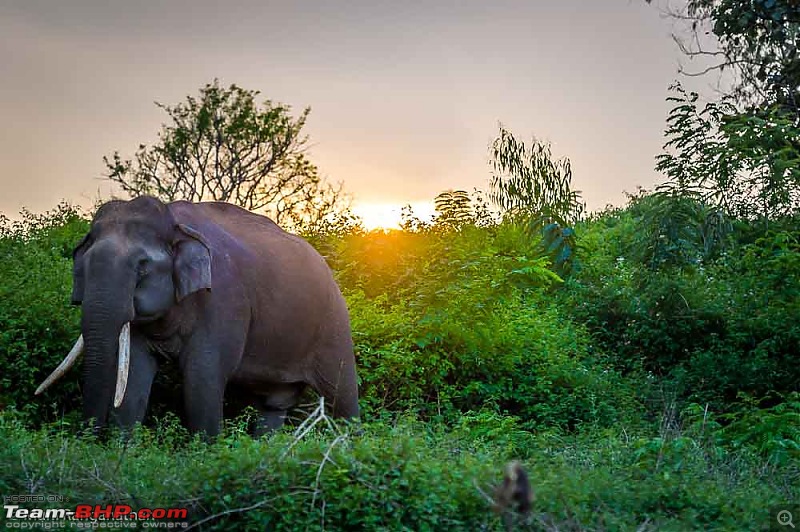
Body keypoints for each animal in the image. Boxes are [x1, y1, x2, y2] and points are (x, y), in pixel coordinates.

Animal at [34, 196, 360, 436]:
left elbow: (202, 379)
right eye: (84, 266)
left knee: (343, 397)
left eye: (142, 267)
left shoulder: (223, 302)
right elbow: (135, 374)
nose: (87, 438)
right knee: (271, 409)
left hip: (334, 327)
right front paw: (121, 453)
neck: (174, 221)